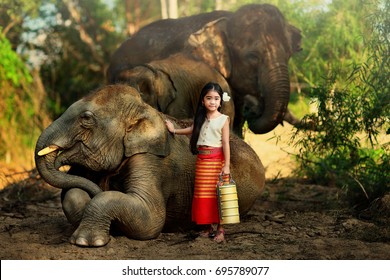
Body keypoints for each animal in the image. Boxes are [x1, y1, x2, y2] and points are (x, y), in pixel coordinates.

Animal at [35, 84, 266, 246]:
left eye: (86, 118)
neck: (143, 110)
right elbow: (72, 194)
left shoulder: (151, 161)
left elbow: (151, 219)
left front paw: (88, 241)